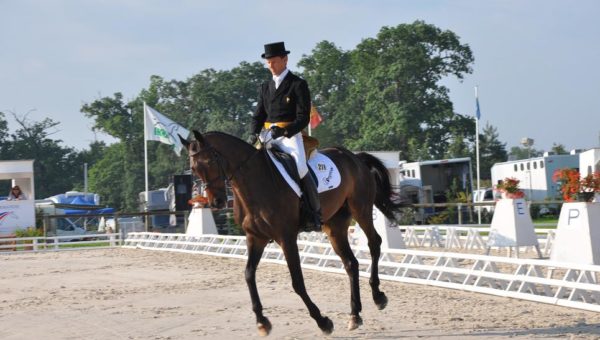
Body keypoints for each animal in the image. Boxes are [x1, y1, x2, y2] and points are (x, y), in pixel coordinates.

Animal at [178, 130, 404, 334]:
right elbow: (249, 274)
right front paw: (262, 322)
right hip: (335, 226)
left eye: (210, 161)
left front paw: (323, 321)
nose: (216, 202)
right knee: (351, 263)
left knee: (374, 243)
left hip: (361, 209)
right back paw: (355, 315)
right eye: (194, 168)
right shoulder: (255, 238)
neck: (255, 183)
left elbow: (297, 282)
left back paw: (378, 296)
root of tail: (354, 157)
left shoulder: (286, 238)